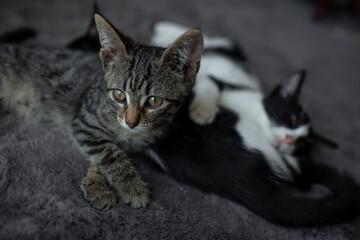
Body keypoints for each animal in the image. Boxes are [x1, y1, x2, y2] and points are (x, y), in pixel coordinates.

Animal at [0, 15, 204, 210]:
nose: (131, 122)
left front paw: (95, 185)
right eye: (119, 95)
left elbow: (100, 156)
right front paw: (132, 187)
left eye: (154, 101)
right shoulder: (85, 121)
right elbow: (110, 152)